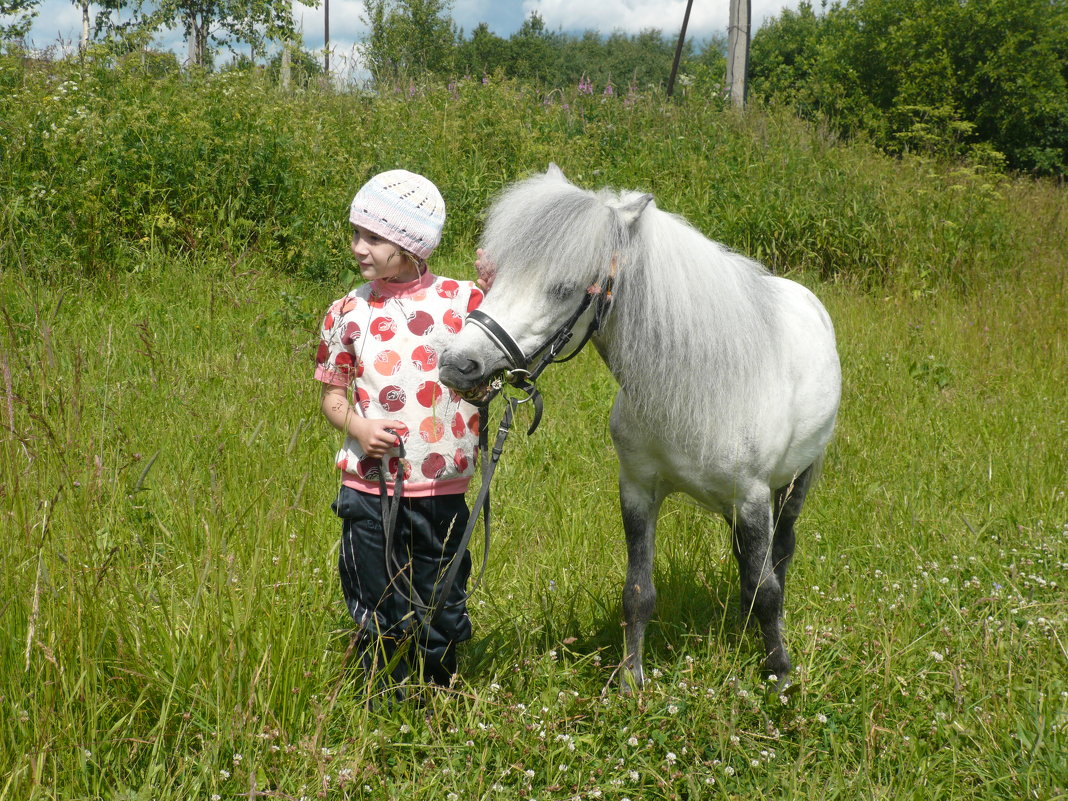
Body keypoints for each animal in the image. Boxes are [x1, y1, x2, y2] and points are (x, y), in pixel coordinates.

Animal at [437, 166, 837, 687]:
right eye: (497, 275)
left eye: (564, 287)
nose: (459, 365)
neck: (690, 388)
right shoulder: (638, 491)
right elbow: (638, 592)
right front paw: (631, 680)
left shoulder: (751, 497)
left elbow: (766, 589)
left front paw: (781, 674)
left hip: (794, 482)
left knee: (781, 553)